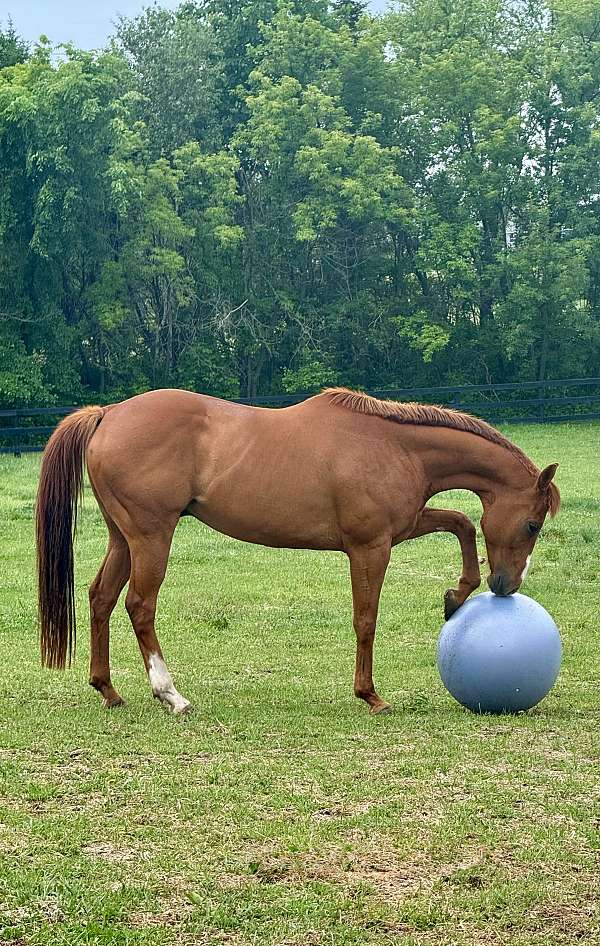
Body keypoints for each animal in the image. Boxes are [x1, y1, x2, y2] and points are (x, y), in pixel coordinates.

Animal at [36, 387, 560, 715]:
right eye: (532, 524)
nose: (506, 585)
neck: (394, 446)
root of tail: (108, 414)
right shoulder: (371, 547)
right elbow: (366, 619)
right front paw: (370, 695)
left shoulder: (403, 527)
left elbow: (462, 524)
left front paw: (456, 596)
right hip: (151, 537)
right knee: (139, 605)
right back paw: (171, 695)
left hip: (123, 538)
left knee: (101, 598)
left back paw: (108, 690)